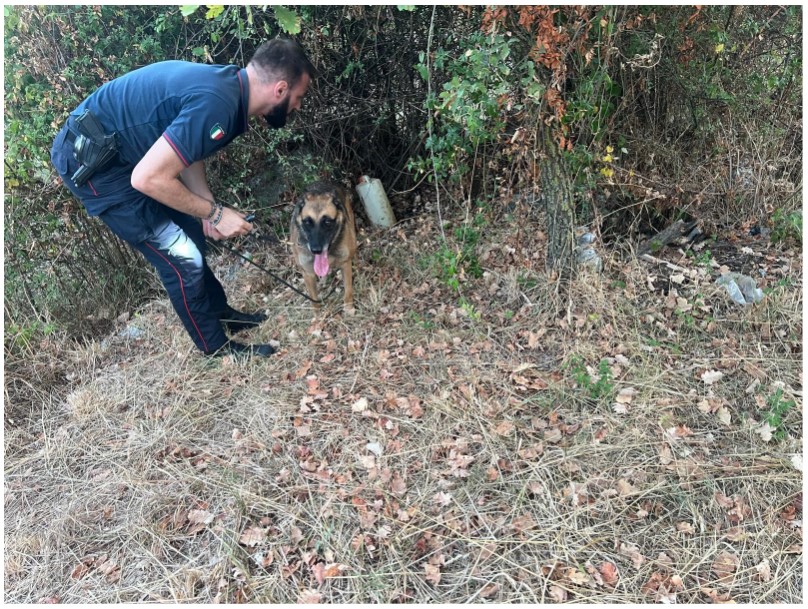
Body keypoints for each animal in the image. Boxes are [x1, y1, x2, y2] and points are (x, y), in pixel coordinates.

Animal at [290, 181, 357, 312]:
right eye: (307, 222)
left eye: (327, 222)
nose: (316, 250)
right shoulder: (308, 273)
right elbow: (314, 302)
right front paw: (318, 317)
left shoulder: (345, 263)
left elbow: (348, 290)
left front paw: (348, 307)